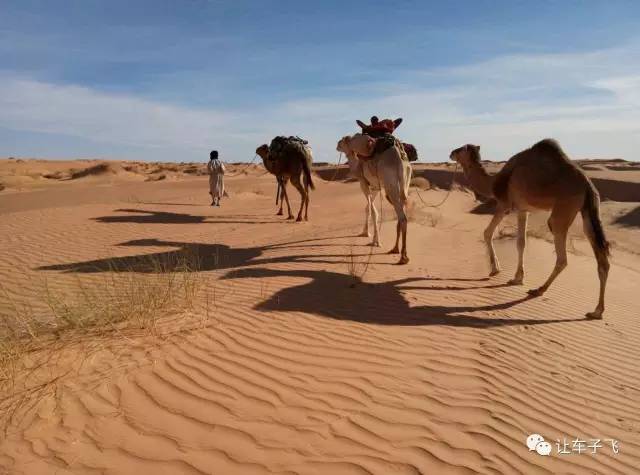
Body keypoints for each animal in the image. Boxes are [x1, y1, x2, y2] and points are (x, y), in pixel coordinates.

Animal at [338, 134, 412, 264]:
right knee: (401, 213)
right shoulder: (376, 187)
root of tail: (400, 158)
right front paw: (366, 233)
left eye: (342, 140)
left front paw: (375, 241)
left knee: (402, 217)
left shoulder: (363, 183)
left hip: (390, 184)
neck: (357, 165)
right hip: (405, 183)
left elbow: (373, 210)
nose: (337, 144)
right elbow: (369, 208)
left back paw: (403, 256)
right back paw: (395, 249)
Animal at [450, 139, 608, 320]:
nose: (451, 153)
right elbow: (521, 243)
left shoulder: (504, 205)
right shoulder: (523, 209)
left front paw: (495, 269)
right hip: (588, 211)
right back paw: (597, 311)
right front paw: (517, 278)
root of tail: (588, 186)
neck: (494, 182)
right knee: (602, 259)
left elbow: (487, 232)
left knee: (562, 256)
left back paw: (539, 290)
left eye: (460, 149)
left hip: (563, 210)